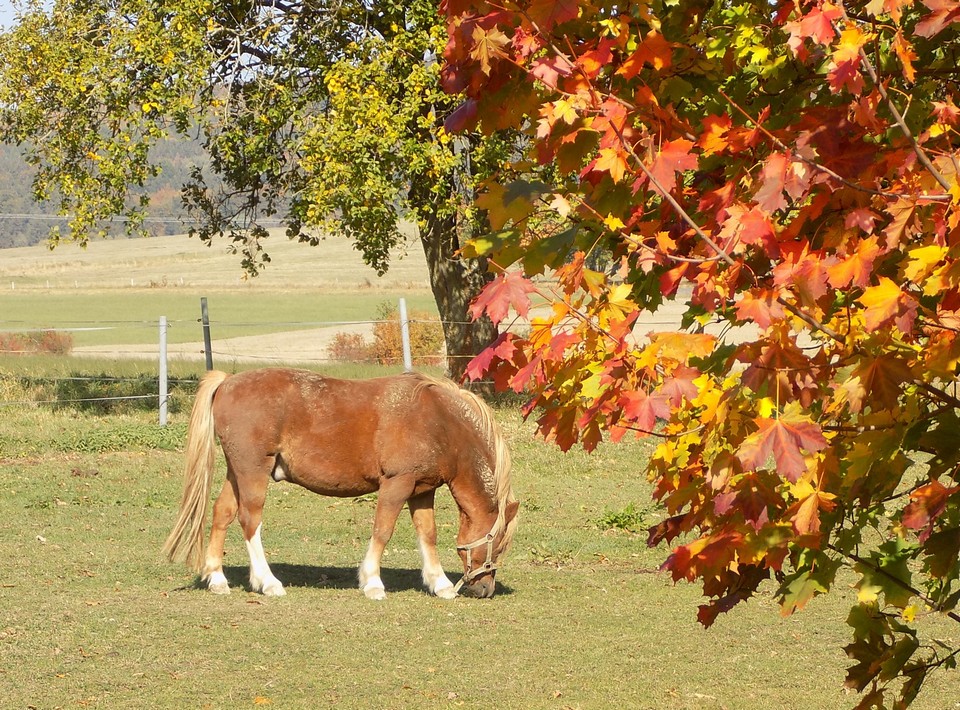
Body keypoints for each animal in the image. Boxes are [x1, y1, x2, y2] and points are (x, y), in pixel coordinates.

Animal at [165, 368, 520, 600]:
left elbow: (427, 535)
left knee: (222, 513)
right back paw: (267, 582)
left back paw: (217, 578)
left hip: (237, 471)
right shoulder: (397, 484)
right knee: (249, 520)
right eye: (498, 545)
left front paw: (440, 583)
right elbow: (383, 530)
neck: (439, 421)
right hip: (253, 471)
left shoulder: (422, 489)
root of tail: (227, 382)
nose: (485, 589)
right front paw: (373, 582)